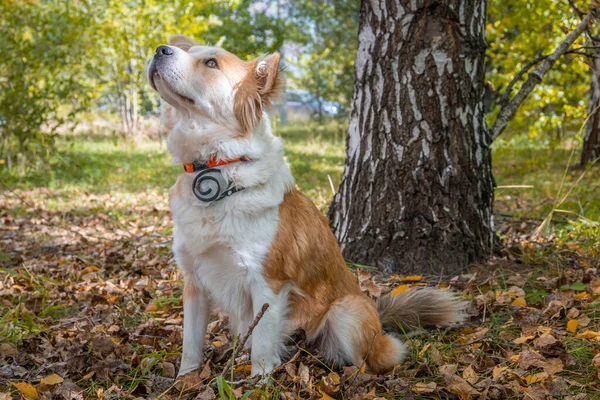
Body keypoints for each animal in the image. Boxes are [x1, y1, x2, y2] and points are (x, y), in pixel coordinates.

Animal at [148, 34, 466, 378]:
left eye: (210, 62)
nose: (159, 49)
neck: (218, 168)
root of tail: (380, 322)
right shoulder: (194, 282)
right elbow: (191, 343)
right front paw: (186, 380)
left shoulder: (267, 284)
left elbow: (262, 344)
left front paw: (258, 381)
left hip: (346, 312)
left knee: (367, 363)